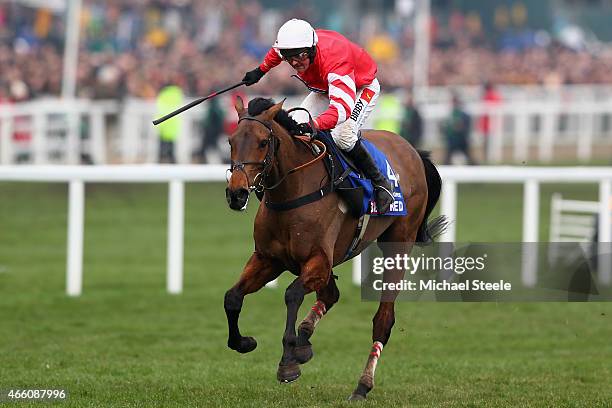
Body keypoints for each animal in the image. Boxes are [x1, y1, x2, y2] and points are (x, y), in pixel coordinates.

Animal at [222, 96, 442, 402]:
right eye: (231, 141)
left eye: (263, 142)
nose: (237, 193)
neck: (292, 192)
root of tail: (412, 150)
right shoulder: (268, 259)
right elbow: (232, 297)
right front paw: (244, 342)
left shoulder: (318, 260)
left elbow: (292, 295)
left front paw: (288, 363)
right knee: (331, 294)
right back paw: (304, 340)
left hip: (398, 244)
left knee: (383, 320)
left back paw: (362, 385)